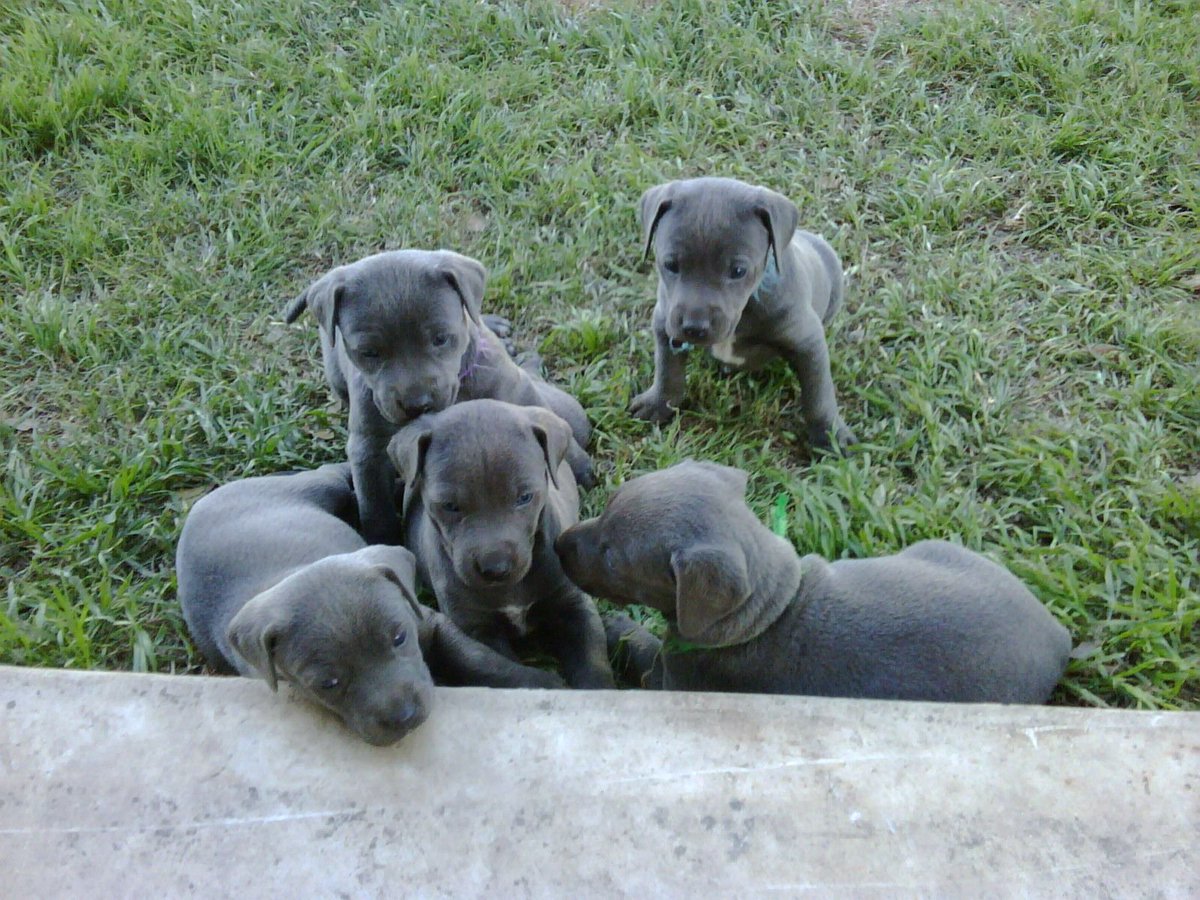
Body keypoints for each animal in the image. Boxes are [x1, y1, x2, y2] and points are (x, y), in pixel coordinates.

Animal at [175, 465, 564, 748]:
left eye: (399, 638)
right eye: (328, 683)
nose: (404, 717)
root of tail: (204, 501)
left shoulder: (427, 620)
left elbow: (479, 658)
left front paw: (540, 682)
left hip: (320, 486)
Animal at [286, 247, 595, 547]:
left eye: (441, 338)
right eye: (369, 352)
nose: (417, 404)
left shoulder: (514, 388)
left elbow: (547, 419)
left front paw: (580, 468)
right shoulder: (368, 448)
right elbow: (375, 504)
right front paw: (383, 540)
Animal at [391, 400, 619, 691]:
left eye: (525, 497)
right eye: (449, 506)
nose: (495, 568)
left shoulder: (574, 605)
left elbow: (593, 661)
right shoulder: (478, 629)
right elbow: (501, 669)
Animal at [556, 460, 1075, 710]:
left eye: (613, 558)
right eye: (607, 504)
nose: (559, 544)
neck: (769, 613)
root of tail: (1060, 638)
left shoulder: (671, 680)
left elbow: (644, 652)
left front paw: (617, 626)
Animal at [633, 177, 859, 453]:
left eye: (738, 271)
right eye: (670, 265)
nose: (694, 327)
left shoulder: (808, 341)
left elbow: (819, 394)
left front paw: (831, 435)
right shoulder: (664, 323)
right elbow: (667, 372)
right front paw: (657, 403)